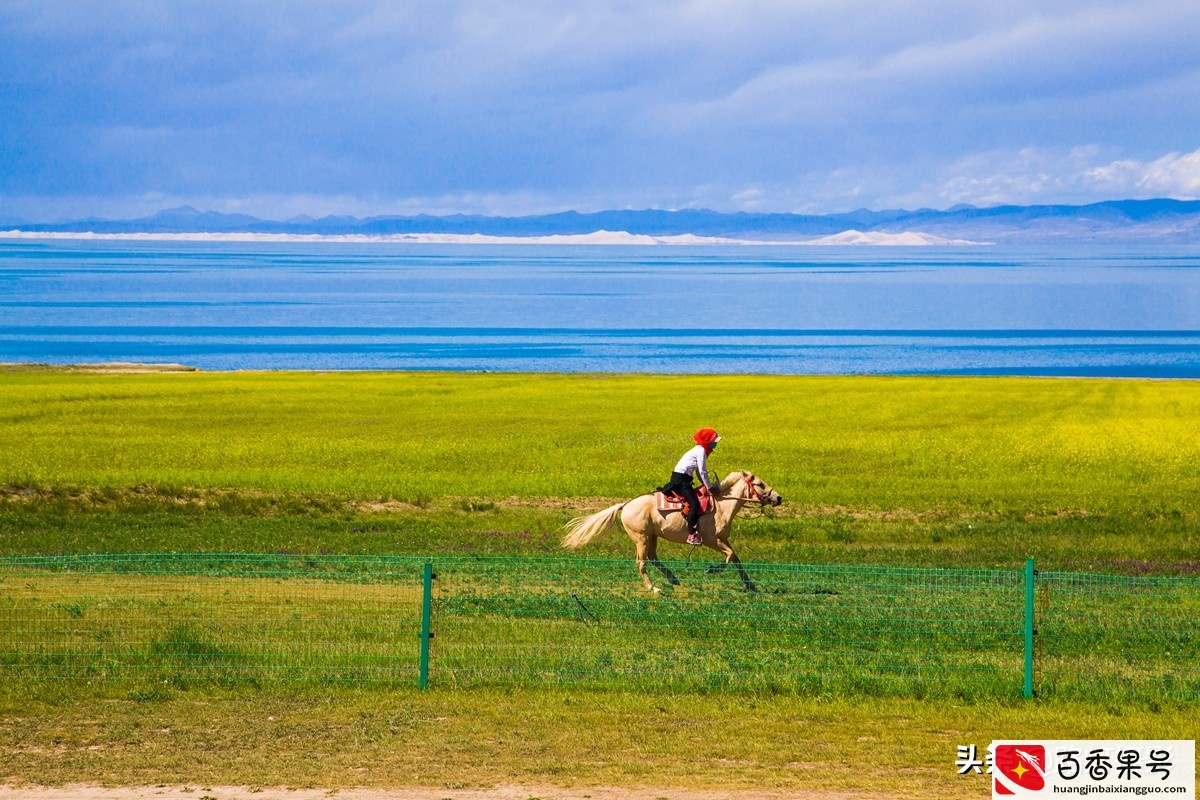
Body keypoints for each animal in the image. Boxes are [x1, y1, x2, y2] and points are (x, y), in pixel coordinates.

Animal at [564, 470, 782, 594]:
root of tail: (625, 505)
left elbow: (736, 559)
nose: (778, 498)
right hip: (641, 537)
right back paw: (654, 588)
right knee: (642, 562)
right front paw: (711, 569)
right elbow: (729, 557)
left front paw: (751, 586)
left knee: (652, 558)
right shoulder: (712, 540)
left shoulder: (722, 539)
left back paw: (673, 579)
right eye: (760, 484)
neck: (722, 505)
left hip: (652, 536)